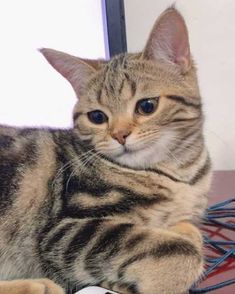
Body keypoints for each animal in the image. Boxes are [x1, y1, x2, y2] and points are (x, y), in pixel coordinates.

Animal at [0, 6, 211, 294]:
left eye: (147, 106)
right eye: (97, 117)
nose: (120, 135)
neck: (177, 172)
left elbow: (189, 232)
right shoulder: (64, 231)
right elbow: (180, 250)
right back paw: (37, 286)